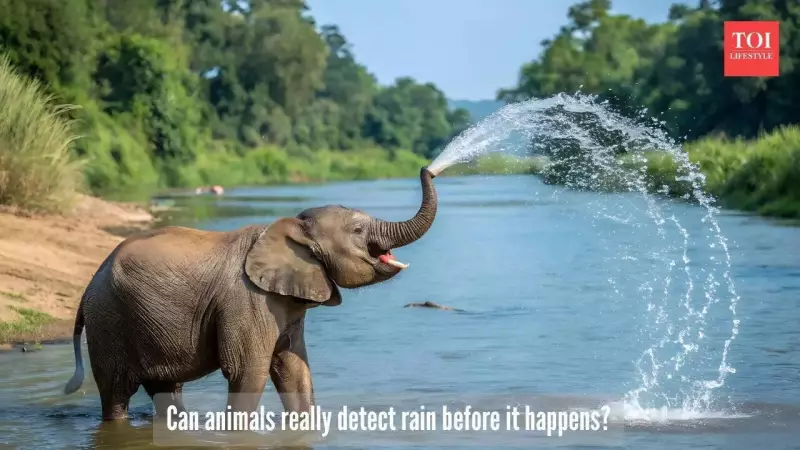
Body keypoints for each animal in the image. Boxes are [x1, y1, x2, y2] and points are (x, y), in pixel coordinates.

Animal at [63, 167, 438, 421]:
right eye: (358, 230)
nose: (428, 168)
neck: (290, 228)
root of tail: (88, 286)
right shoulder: (247, 300)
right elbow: (247, 372)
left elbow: (295, 371)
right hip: (110, 320)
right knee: (116, 393)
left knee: (166, 390)